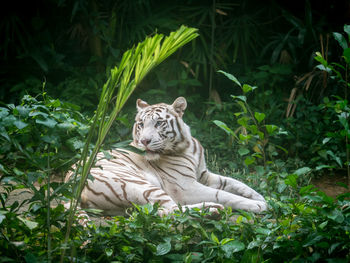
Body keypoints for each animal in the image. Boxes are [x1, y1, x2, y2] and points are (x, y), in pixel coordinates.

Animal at [72, 97, 268, 217]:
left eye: (159, 123)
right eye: (141, 124)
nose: (144, 141)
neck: (187, 147)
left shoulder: (203, 174)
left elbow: (234, 182)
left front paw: (260, 197)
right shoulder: (184, 187)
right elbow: (222, 194)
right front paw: (258, 205)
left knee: (159, 212)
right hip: (136, 183)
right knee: (172, 209)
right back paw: (212, 210)